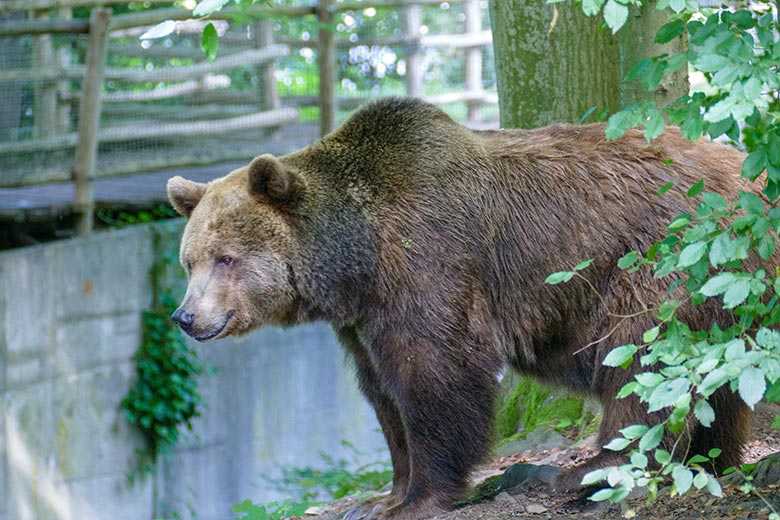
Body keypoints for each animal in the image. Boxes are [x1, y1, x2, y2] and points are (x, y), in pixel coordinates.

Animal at [169, 97, 748, 520]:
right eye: (189, 261)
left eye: (226, 258)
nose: (186, 318)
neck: (355, 261)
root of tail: (746, 172)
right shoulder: (362, 319)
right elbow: (382, 394)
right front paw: (383, 495)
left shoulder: (427, 262)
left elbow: (434, 376)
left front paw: (418, 498)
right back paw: (712, 458)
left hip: (661, 259)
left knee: (640, 359)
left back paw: (594, 469)